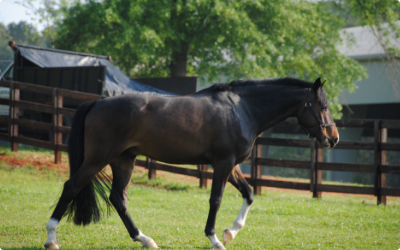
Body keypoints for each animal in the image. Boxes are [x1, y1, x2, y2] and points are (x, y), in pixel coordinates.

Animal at [43, 77, 338, 249]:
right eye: (323, 106)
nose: (333, 138)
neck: (242, 109)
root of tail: (96, 103)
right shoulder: (223, 163)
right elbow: (216, 200)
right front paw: (215, 238)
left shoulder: (231, 165)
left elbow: (249, 193)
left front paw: (231, 232)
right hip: (98, 159)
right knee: (71, 188)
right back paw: (51, 238)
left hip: (123, 161)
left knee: (118, 198)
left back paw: (145, 239)